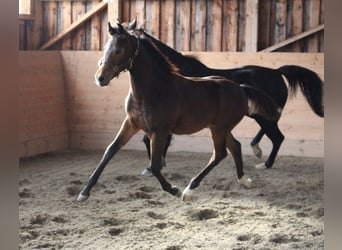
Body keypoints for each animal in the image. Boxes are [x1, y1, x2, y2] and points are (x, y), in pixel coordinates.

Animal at [77, 21, 280, 201]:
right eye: (105, 48)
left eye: (119, 50)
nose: (100, 78)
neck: (153, 90)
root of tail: (241, 88)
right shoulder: (131, 124)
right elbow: (110, 151)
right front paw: (84, 193)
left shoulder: (160, 131)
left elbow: (155, 165)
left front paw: (173, 189)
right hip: (218, 127)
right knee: (235, 147)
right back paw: (244, 180)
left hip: (219, 129)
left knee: (220, 154)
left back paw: (189, 190)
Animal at [127, 20, 324, 171]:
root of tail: (277, 72)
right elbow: (149, 140)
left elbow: (155, 140)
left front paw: (157, 165)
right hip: (261, 113)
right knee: (273, 132)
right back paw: (257, 150)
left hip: (262, 115)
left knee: (278, 137)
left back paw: (265, 163)